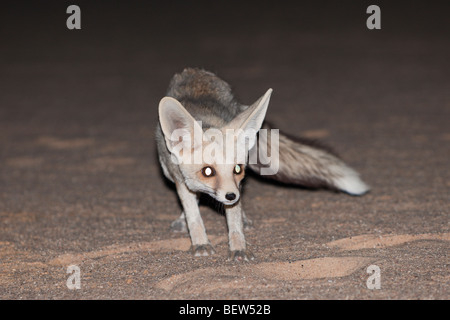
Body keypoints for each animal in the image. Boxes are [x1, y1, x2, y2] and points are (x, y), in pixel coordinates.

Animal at [156, 67, 370, 260]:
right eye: (207, 172)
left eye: (237, 169)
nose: (231, 196)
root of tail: (194, 71)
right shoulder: (181, 182)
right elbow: (194, 217)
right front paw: (200, 243)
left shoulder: (236, 187)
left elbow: (234, 223)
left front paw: (238, 247)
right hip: (169, 173)